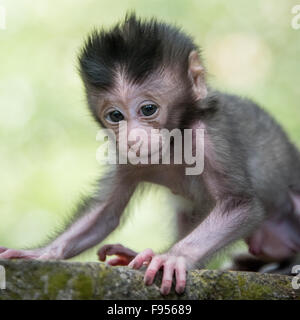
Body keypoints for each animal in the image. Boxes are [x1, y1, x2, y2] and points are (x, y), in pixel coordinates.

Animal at [0, 14, 300, 296]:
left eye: (148, 109)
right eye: (115, 115)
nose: (133, 137)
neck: (172, 142)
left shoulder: (208, 138)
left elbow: (239, 204)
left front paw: (173, 257)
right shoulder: (126, 157)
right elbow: (105, 213)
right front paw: (42, 253)